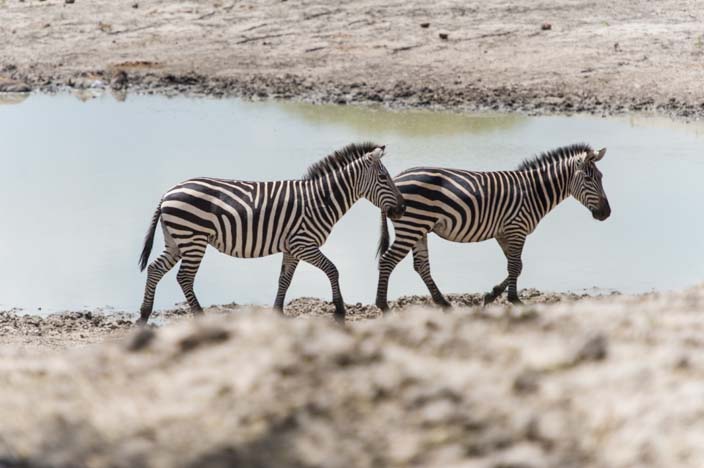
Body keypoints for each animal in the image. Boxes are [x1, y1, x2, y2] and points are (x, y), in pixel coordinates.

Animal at [136, 143, 408, 326]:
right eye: (384, 177)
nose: (403, 209)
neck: (321, 201)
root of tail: (168, 192)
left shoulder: (291, 248)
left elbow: (284, 280)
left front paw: (277, 313)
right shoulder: (303, 244)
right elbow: (332, 269)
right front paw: (340, 310)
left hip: (176, 240)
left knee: (155, 269)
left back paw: (144, 315)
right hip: (193, 239)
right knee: (184, 277)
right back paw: (200, 317)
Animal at [374, 143, 612, 310]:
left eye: (601, 177)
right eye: (589, 179)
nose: (606, 213)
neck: (533, 192)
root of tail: (396, 180)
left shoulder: (504, 233)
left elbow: (517, 265)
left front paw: (492, 295)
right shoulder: (517, 229)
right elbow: (515, 266)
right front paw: (514, 299)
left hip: (419, 228)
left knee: (421, 265)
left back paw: (443, 303)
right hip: (412, 225)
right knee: (388, 261)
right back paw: (383, 305)